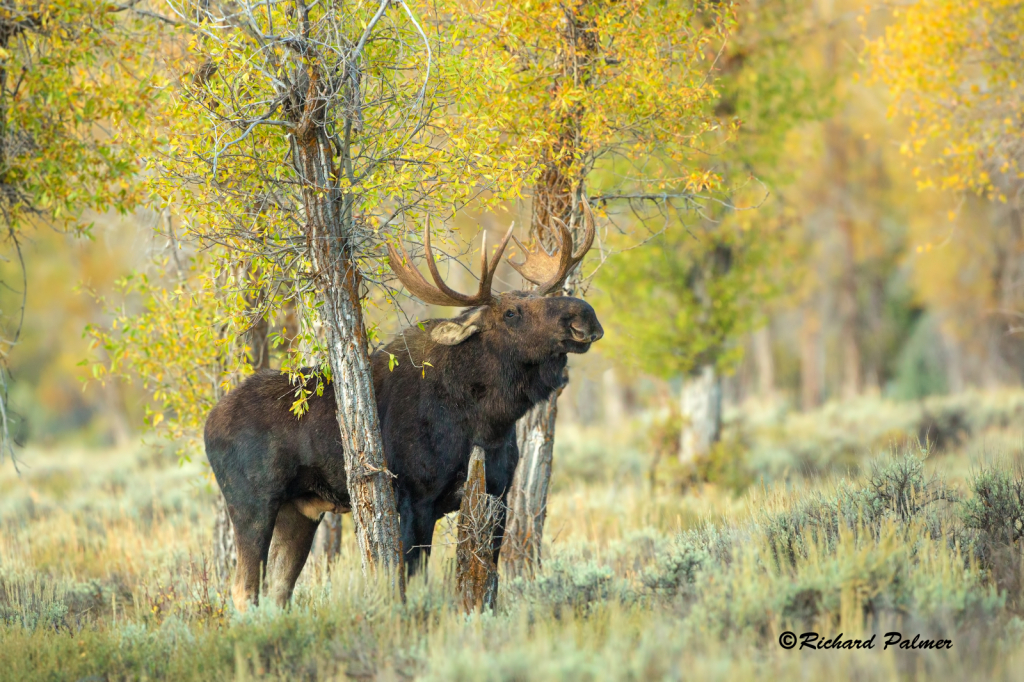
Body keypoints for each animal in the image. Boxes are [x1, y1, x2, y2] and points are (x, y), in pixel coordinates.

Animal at [205, 200, 598, 606]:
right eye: (511, 312)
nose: (584, 314)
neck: (488, 422)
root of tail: (208, 423)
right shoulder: (415, 498)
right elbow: (410, 578)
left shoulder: (497, 497)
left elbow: (488, 578)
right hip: (252, 504)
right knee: (244, 588)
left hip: (300, 511)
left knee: (279, 589)